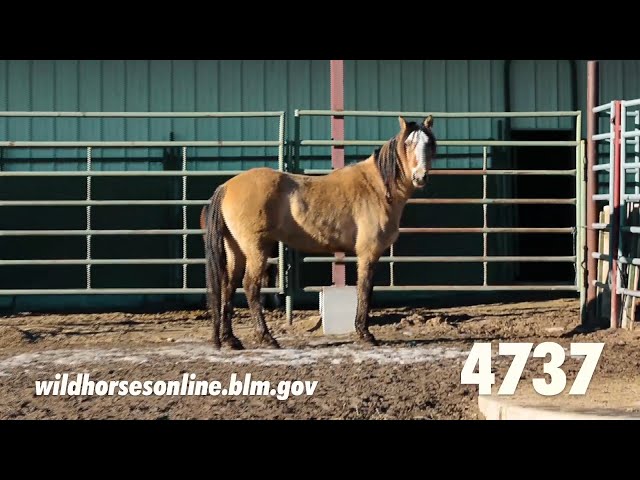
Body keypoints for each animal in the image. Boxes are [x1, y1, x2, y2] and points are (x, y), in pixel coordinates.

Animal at [200, 115, 437, 349]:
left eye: (429, 144)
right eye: (408, 144)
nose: (420, 177)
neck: (377, 187)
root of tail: (227, 186)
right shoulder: (368, 252)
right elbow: (365, 289)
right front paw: (365, 334)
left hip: (235, 249)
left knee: (228, 286)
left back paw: (230, 339)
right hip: (256, 249)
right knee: (250, 286)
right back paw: (267, 338)